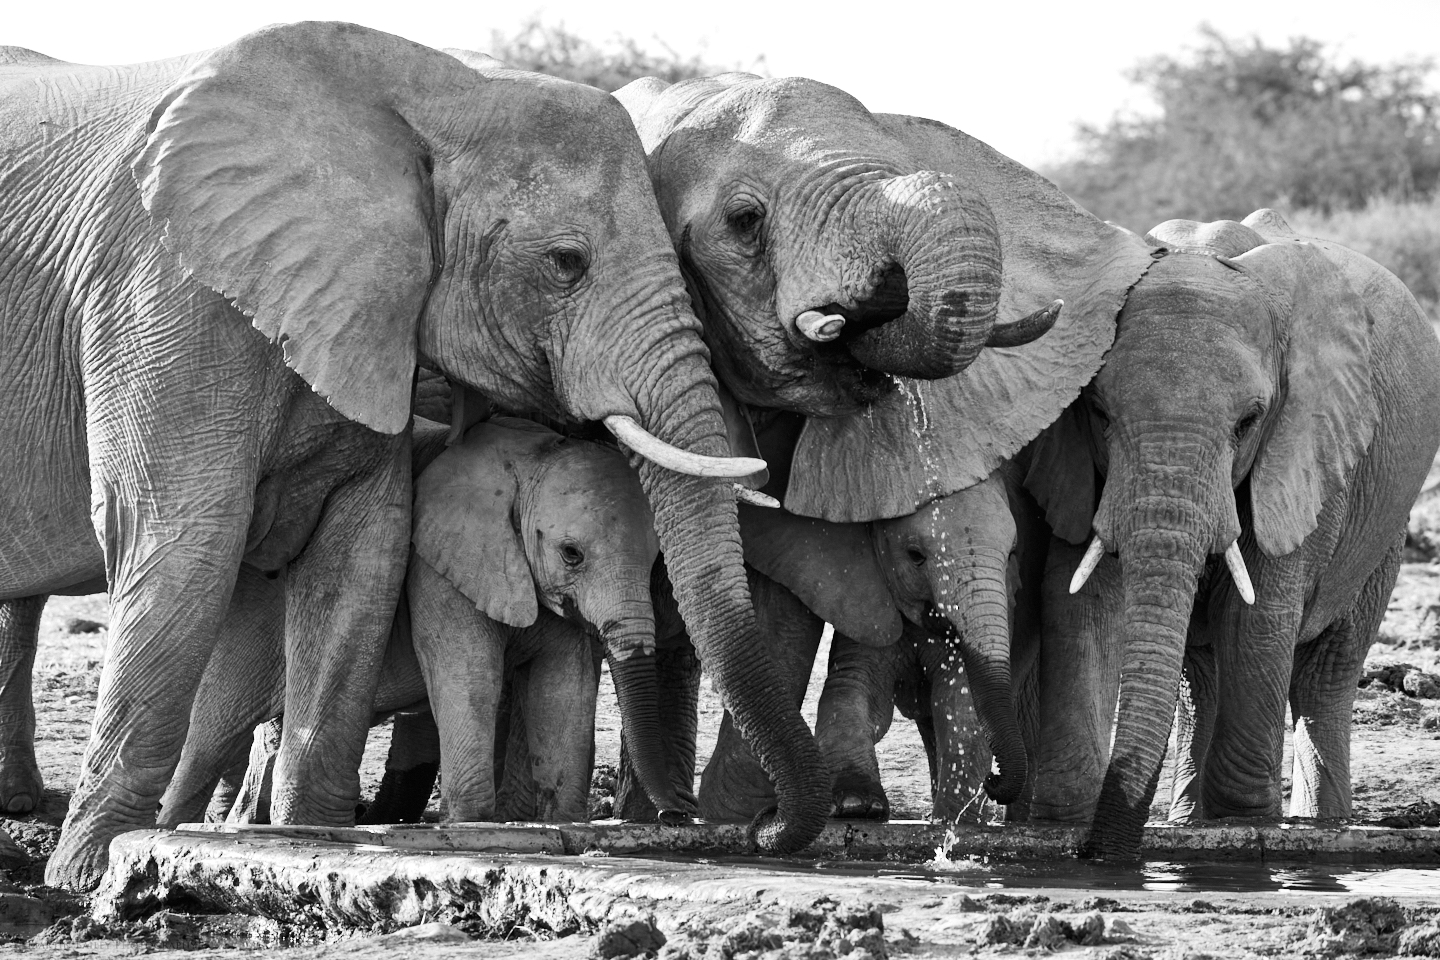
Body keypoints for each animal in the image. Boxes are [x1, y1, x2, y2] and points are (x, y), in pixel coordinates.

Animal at [163, 417, 691, 829]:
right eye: (572, 554)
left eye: (656, 561)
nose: (675, 817)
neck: (528, 459)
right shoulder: (437, 564)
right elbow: (471, 671)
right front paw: (471, 822)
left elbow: (562, 682)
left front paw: (559, 821)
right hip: (249, 611)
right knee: (211, 734)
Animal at [1019, 210, 1440, 857]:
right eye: (1097, 412)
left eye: (1248, 422)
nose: (1099, 854)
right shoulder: (1069, 460)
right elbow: (1082, 602)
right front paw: (1061, 822)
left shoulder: (1303, 454)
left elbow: (1257, 616)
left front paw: (1249, 825)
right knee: (1202, 674)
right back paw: (1189, 823)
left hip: (1386, 521)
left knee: (1327, 674)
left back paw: (1319, 827)